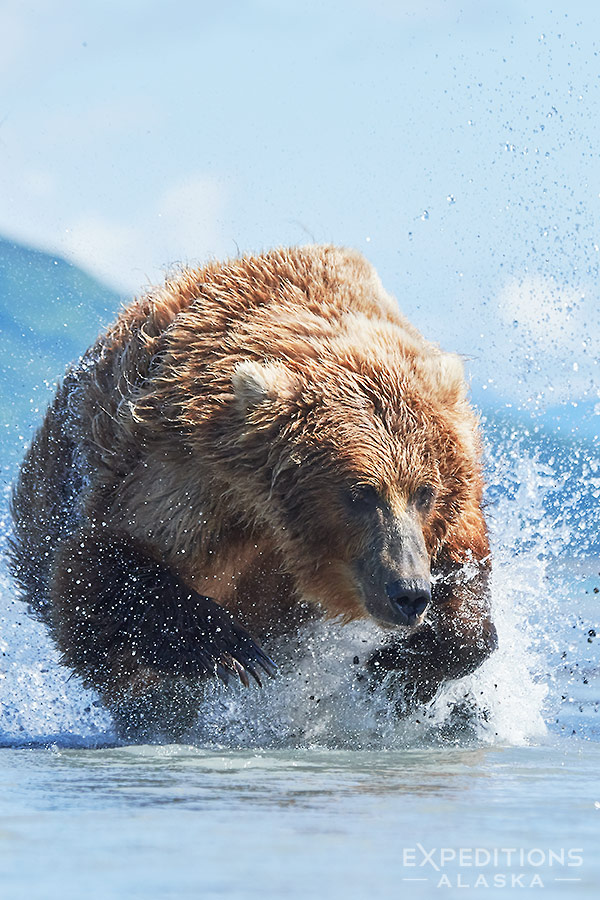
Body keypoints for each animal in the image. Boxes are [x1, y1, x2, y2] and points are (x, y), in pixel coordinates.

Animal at [9, 244, 497, 738]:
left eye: (425, 492)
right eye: (361, 492)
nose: (409, 591)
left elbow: (466, 587)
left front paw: (395, 670)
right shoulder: (181, 480)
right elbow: (94, 571)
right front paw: (231, 648)